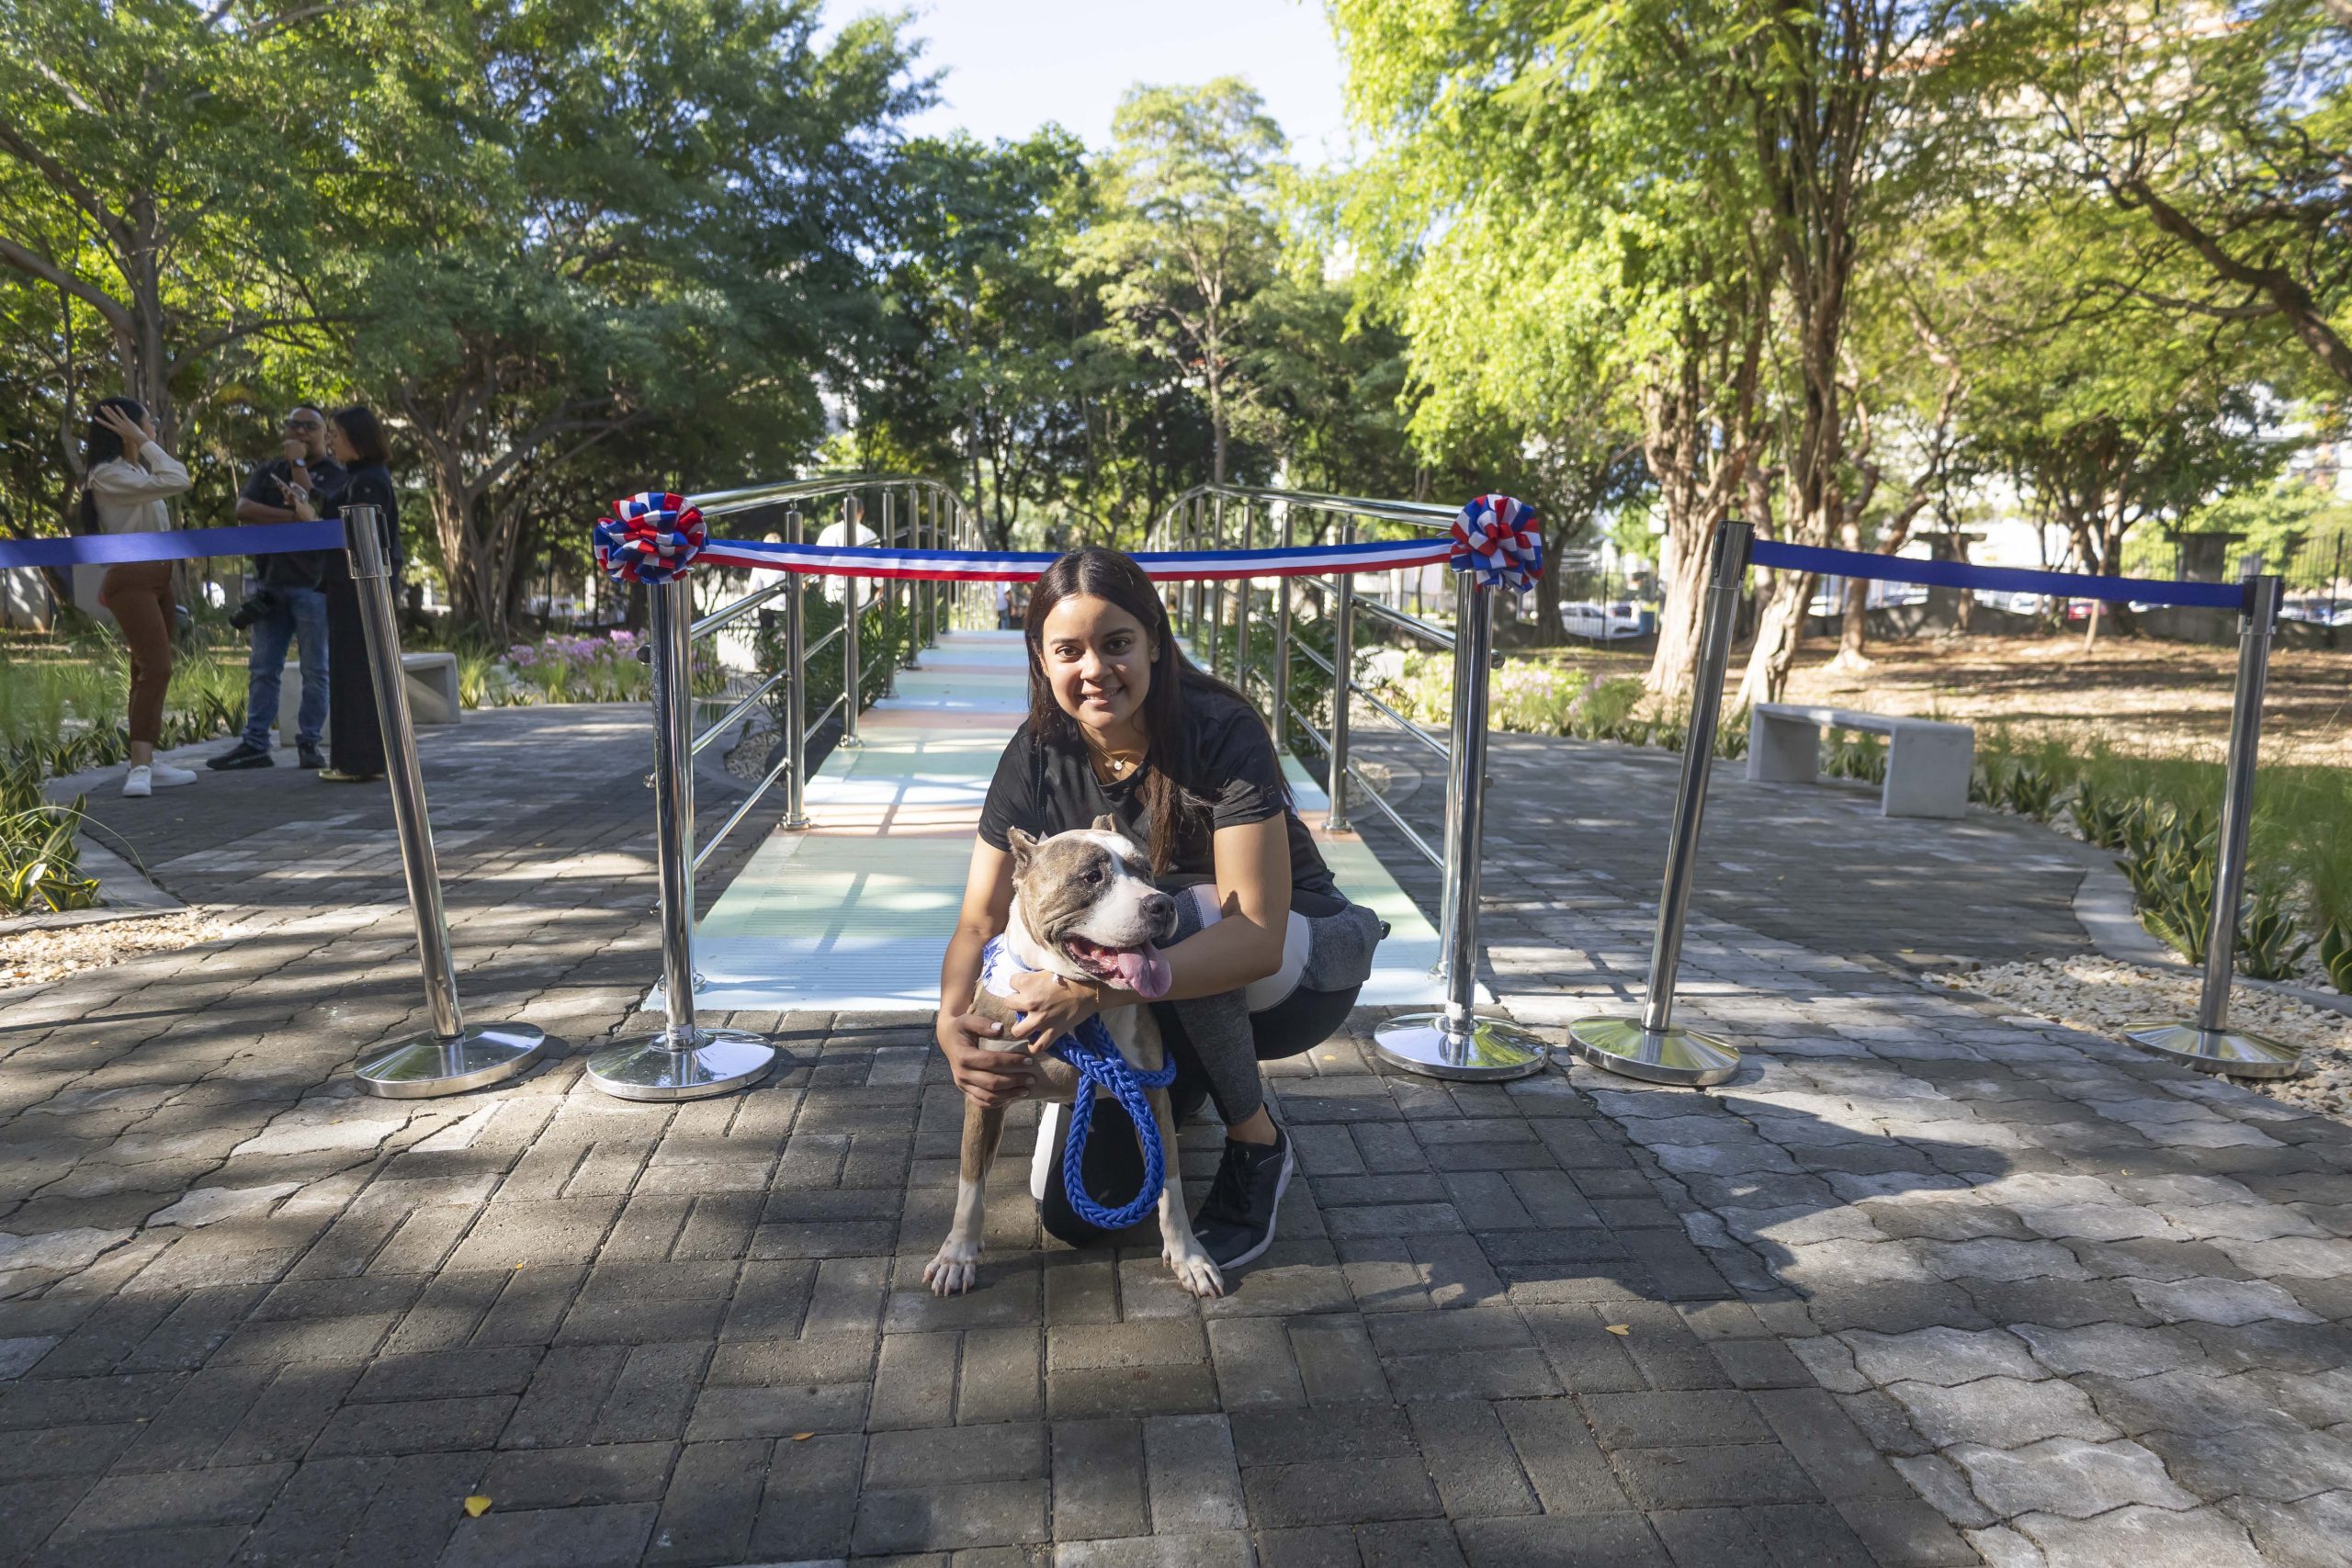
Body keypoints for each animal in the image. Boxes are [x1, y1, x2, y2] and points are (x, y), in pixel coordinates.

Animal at [925, 816, 1224, 1299]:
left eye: (1146, 870)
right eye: (1091, 877)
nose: (1160, 905)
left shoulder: (1150, 1096)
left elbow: (1170, 1184)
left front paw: (1189, 1256)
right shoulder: (985, 1092)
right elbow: (970, 1183)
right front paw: (957, 1255)